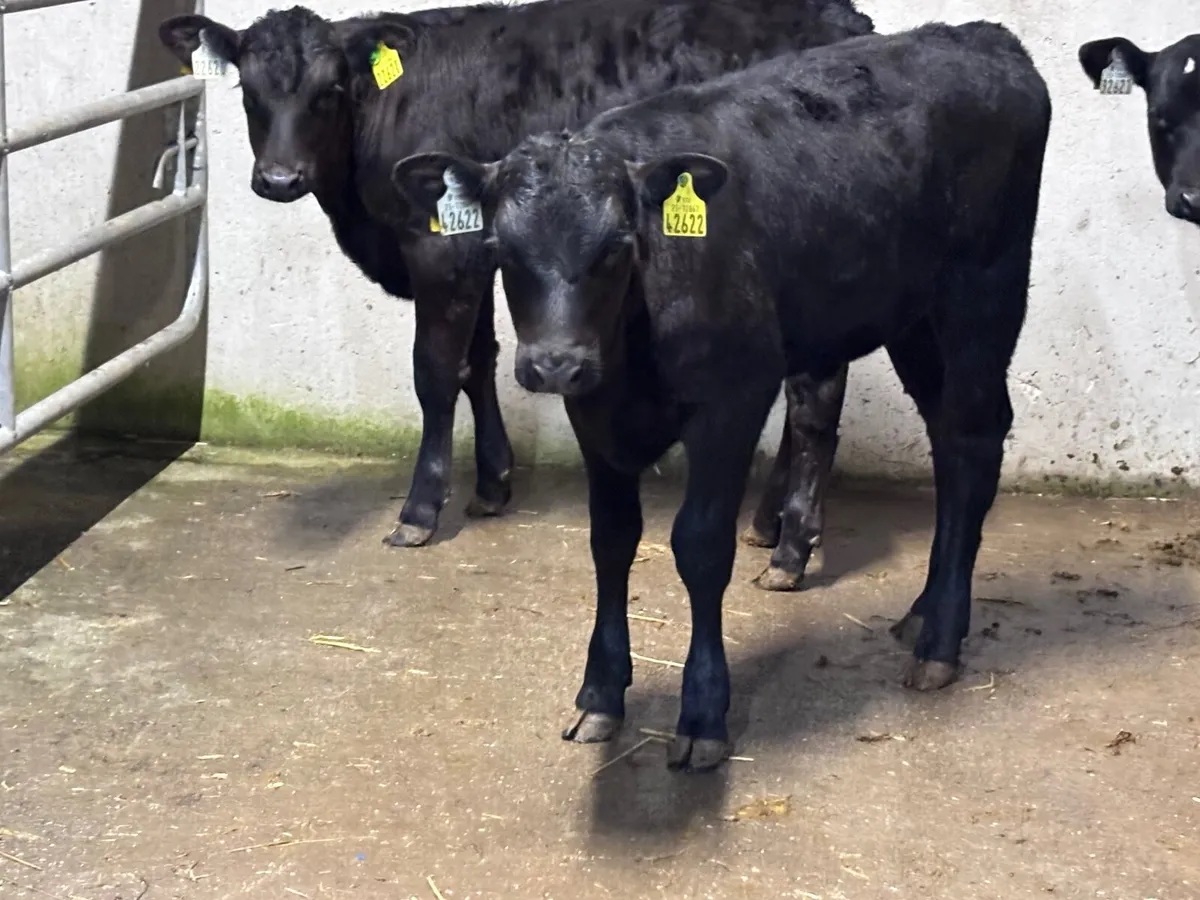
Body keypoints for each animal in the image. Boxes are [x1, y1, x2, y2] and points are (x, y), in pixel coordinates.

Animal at [156, 1, 863, 581]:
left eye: (329, 91)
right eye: (249, 90)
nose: (279, 179)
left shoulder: (440, 249)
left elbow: (434, 372)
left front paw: (419, 511)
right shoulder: (478, 249)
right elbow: (478, 361)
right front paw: (493, 485)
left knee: (815, 397)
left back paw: (791, 546)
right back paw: (770, 524)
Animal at [392, 21, 1052, 771]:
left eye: (617, 245)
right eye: (500, 247)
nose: (556, 363)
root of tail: (981, 35)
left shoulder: (734, 396)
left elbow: (701, 545)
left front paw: (703, 712)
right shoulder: (596, 411)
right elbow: (610, 540)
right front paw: (600, 695)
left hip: (983, 292)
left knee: (973, 439)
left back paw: (940, 643)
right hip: (912, 316)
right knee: (948, 441)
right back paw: (922, 613)